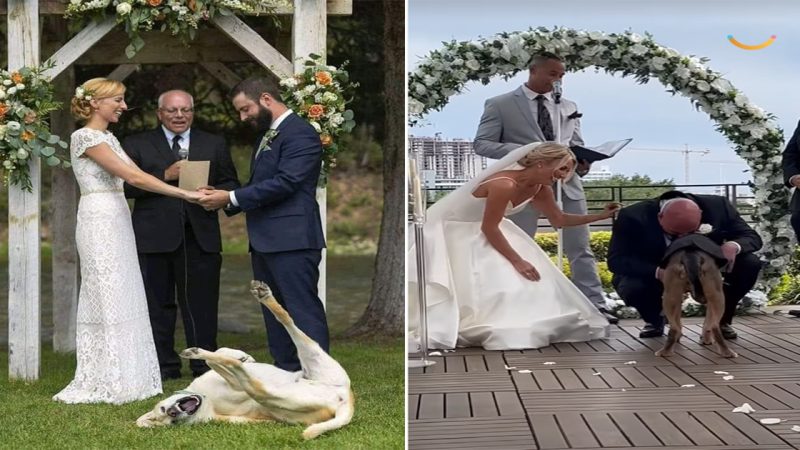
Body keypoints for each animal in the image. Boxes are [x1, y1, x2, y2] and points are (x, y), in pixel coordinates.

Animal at [136, 282, 354, 440]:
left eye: (163, 410)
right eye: (170, 421)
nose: (173, 412)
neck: (206, 399)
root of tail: (344, 400)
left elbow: (218, 358)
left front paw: (242, 355)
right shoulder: (234, 395)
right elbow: (227, 366)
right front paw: (236, 358)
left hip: (316, 359)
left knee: (286, 320)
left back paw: (263, 296)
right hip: (278, 391)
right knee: (251, 377)